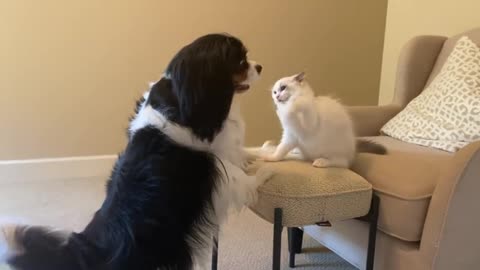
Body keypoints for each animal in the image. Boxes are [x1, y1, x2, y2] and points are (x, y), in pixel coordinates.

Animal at [0, 33, 270, 268]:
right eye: (240, 60)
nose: (260, 67)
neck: (186, 95)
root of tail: (80, 254)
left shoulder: (222, 148)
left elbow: (243, 154)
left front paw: (265, 152)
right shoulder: (209, 164)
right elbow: (240, 178)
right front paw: (266, 175)